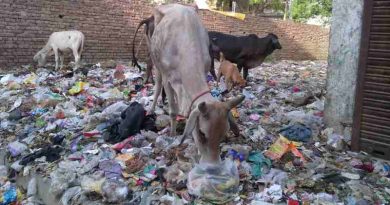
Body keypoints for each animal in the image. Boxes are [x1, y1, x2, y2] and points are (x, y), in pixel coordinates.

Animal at [147, 4, 242, 164]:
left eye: (223, 134)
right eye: (202, 133)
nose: (211, 163)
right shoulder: (167, 78)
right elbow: (172, 110)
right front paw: (172, 135)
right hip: (156, 64)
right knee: (158, 86)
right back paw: (151, 109)